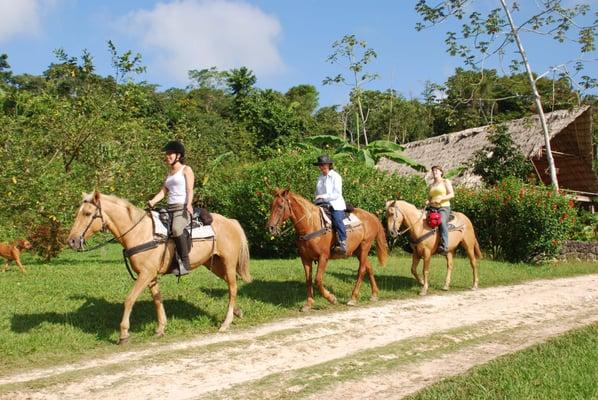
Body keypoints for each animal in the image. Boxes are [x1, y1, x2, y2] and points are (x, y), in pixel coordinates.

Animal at [67, 192, 251, 342]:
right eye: (77, 213)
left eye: (87, 213)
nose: (72, 241)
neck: (140, 233)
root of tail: (231, 222)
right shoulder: (151, 275)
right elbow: (157, 299)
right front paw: (161, 328)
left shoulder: (145, 274)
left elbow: (129, 299)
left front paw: (124, 334)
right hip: (214, 265)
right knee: (230, 285)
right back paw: (237, 312)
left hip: (228, 263)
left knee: (233, 288)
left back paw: (226, 323)